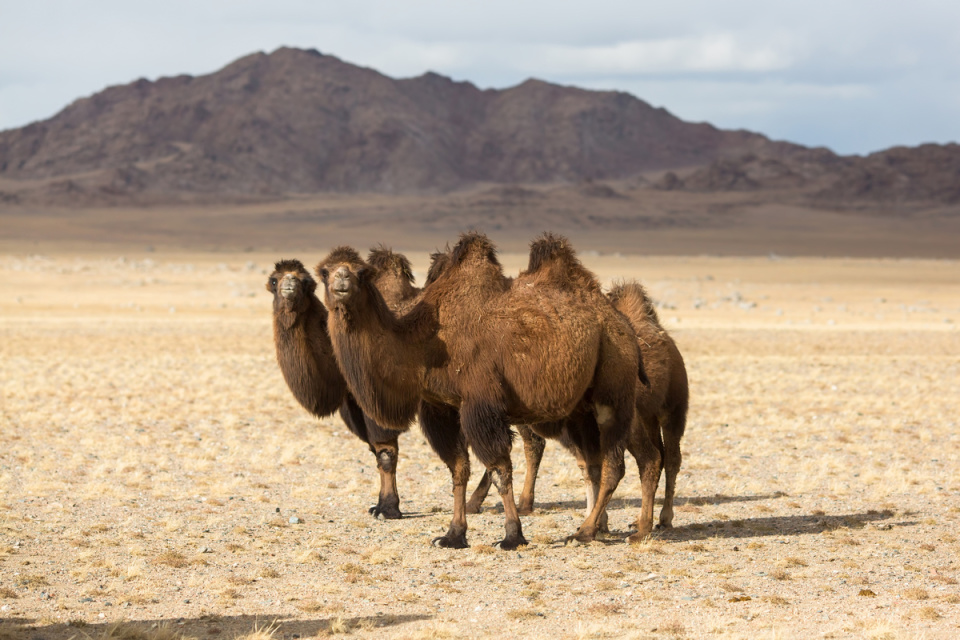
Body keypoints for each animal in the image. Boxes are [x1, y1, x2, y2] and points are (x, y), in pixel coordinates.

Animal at [318, 232, 640, 548]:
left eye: (361, 272)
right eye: (324, 271)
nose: (342, 279)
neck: (426, 343)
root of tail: (621, 322)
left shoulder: (480, 404)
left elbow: (499, 470)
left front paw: (512, 536)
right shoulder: (441, 408)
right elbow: (458, 468)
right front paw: (453, 535)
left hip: (613, 385)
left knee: (613, 464)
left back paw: (585, 532)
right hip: (579, 407)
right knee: (592, 462)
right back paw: (597, 527)